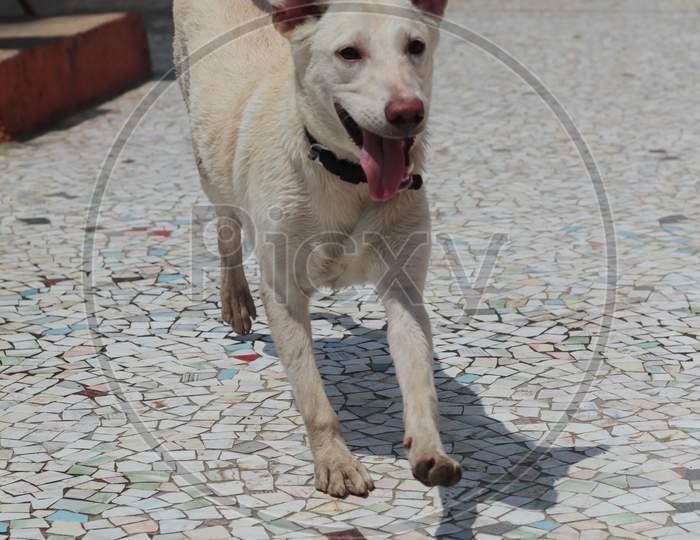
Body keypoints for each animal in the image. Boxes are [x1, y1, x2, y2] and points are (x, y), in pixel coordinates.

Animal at [173, 0, 462, 498]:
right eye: (349, 53)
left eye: (415, 46)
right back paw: (235, 298)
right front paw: (335, 461)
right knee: (227, 225)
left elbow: (419, 378)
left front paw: (430, 449)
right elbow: (312, 393)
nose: (408, 112)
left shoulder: (404, 291)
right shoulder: (284, 292)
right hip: (207, 161)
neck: (345, 177)